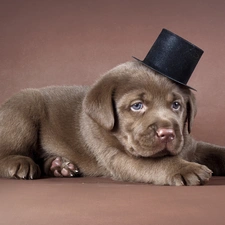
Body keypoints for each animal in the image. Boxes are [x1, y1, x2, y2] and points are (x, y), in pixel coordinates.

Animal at [0, 61, 225, 185]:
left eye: (176, 105)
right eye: (137, 106)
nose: (167, 133)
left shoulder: (192, 146)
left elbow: (215, 151)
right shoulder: (117, 158)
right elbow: (158, 162)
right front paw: (185, 169)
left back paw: (59, 166)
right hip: (24, 109)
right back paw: (21, 163)